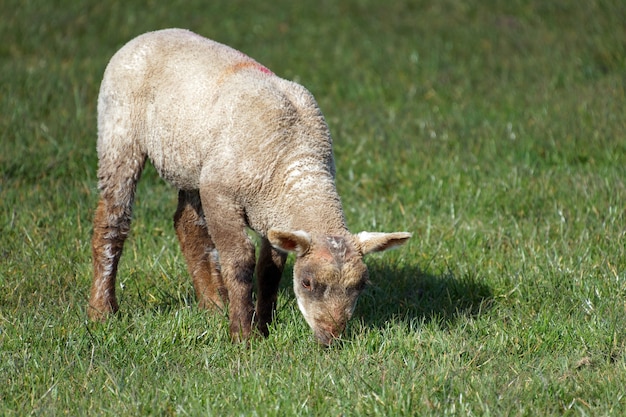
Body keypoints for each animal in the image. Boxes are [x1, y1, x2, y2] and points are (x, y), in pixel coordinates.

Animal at [89, 27, 410, 342]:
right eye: (307, 283)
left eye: (361, 285)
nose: (331, 339)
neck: (295, 159)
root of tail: (149, 34)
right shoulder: (221, 194)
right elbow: (240, 261)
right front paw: (243, 335)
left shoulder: (274, 214)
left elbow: (270, 269)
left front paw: (264, 324)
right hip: (119, 132)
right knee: (113, 220)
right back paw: (102, 310)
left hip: (193, 164)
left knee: (187, 225)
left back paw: (213, 304)